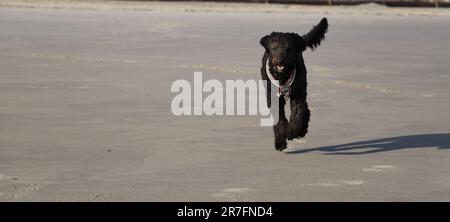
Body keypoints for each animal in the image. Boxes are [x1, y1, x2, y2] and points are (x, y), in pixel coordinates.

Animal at [258, 18, 328, 152]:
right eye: (274, 47)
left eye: (288, 48)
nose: (280, 61)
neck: (282, 76)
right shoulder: (274, 98)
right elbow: (280, 121)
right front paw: (280, 142)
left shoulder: (297, 95)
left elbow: (298, 114)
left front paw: (292, 132)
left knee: (305, 112)